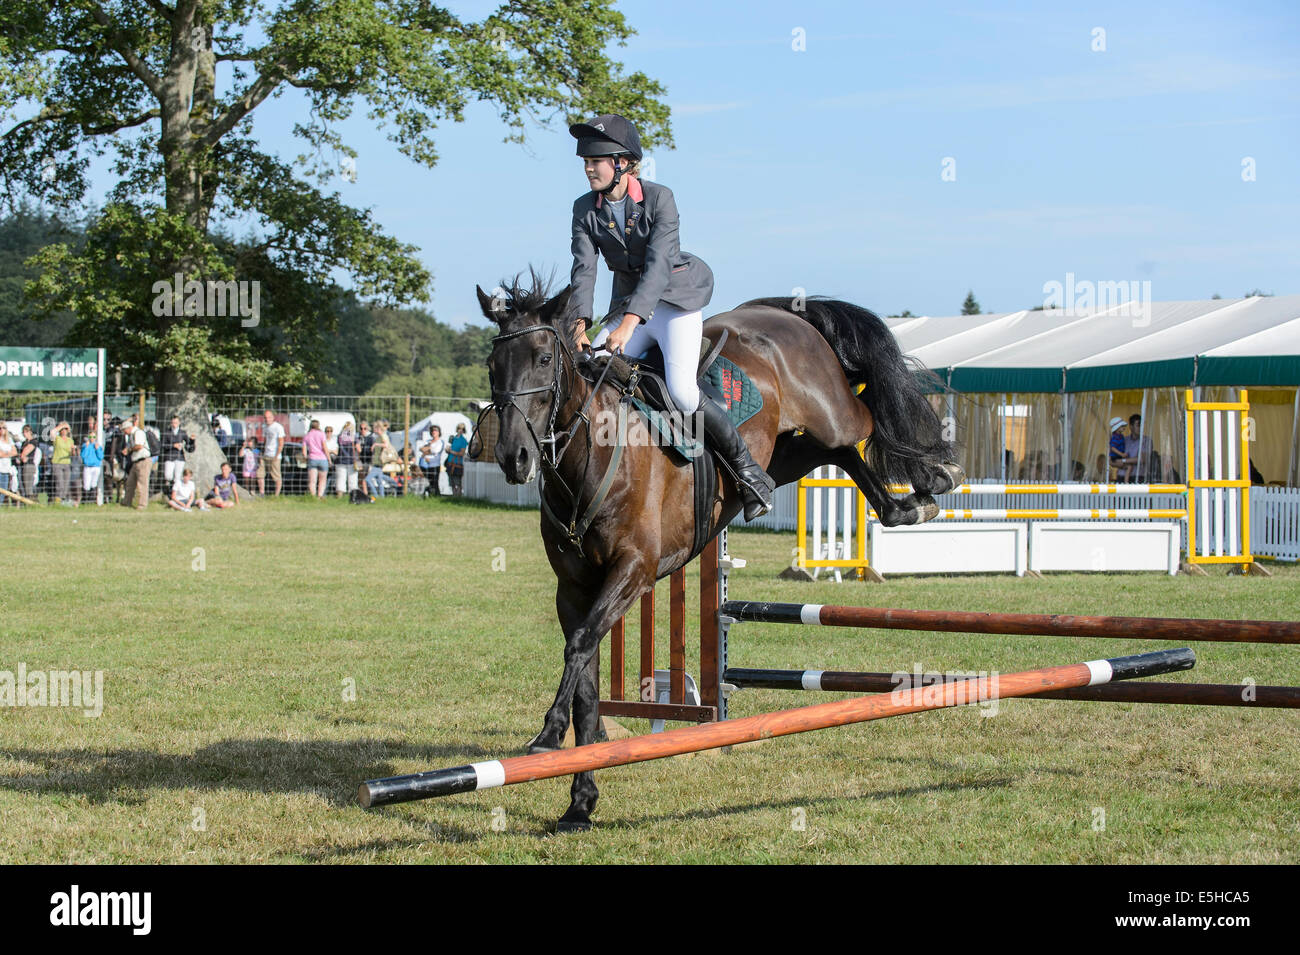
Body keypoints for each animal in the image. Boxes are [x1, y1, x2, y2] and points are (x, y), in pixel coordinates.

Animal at [473, 276, 961, 831]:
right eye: (492, 365)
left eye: (542, 359)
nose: (514, 458)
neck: (590, 458)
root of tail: (779, 312)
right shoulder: (573, 589)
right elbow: (586, 677)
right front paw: (580, 802)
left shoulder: (634, 571)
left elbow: (578, 650)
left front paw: (548, 736)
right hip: (782, 453)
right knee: (832, 453)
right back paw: (902, 507)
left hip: (832, 412)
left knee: (867, 415)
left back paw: (935, 476)